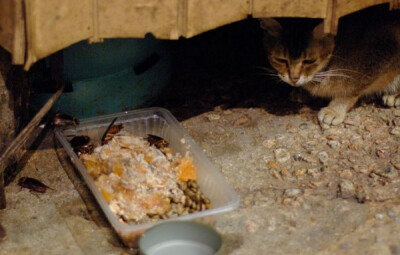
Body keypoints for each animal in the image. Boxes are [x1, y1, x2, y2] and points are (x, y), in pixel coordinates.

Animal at [260, 12, 400, 126]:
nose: (294, 78)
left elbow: (350, 89)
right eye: (281, 60)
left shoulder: (381, 50)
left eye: (310, 61)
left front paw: (334, 109)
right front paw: (303, 92)